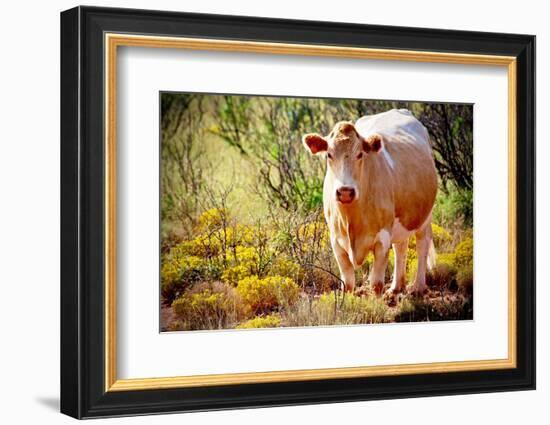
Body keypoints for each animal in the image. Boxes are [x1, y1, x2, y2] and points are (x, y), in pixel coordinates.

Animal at [302, 108, 440, 294]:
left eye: (360, 154)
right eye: (329, 155)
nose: (345, 192)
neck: (352, 220)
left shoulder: (383, 238)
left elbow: (376, 284)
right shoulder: (336, 240)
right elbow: (348, 283)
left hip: (425, 215)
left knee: (422, 244)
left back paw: (418, 287)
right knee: (401, 247)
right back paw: (396, 287)